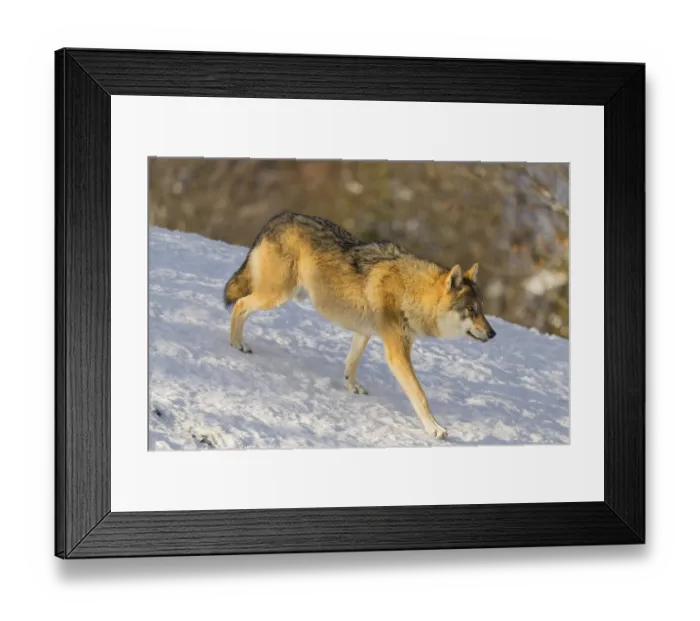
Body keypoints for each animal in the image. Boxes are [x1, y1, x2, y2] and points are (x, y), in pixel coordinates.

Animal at [223, 212, 496, 440]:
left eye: (482, 308)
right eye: (471, 310)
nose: (493, 333)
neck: (411, 292)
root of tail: (277, 218)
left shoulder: (364, 332)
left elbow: (351, 362)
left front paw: (351, 386)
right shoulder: (397, 352)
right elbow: (420, 395)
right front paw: (435, 428)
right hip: (276, 296)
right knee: (240, 305)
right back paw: (236, 343)